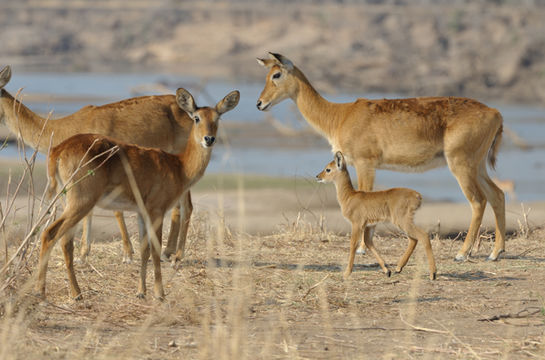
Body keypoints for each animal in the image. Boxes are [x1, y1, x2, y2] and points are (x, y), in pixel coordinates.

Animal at [0, 64, 193, 262]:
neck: (63, 128)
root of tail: (189, 112)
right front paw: (85, 253)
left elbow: (113, 211)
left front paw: (125, 254)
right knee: (178, 206)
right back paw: (167, 252)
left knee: (187, 206)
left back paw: (176, 255)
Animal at [34, 88, 238, 300]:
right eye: (197, 118)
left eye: (217, 118)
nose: (209, 139)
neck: (179, 166)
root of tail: (57, 150)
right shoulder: (156, 211)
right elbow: (155, 250)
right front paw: (159, 293)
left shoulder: (142, 212)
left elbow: (144, 250)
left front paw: (141, 291)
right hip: (81, 203)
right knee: (50, 234)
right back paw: (51, 292)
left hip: (69, 202)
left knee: (65, 241)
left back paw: (70, 292)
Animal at [258, 52, 504, 262]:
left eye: (276, 74)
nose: (260, 103)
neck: (340, 115)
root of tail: (495, 112)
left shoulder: (365, 164)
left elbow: (365, 196)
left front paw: (361, 248)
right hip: (478, 166)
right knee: (497, 195)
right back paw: (495, 253)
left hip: (461, 164)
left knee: (478, 201)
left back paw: (462, 253)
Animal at [316, 150, 436, 280]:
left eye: (328, 169)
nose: (318, 176)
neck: (349, 197)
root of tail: (417, 195)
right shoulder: (370, 226)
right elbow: (369, 243)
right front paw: (387, 271)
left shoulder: (357, 224)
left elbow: (353, 244)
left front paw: (346, 273)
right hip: (404, 222)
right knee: (414, 239)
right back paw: (398, 268)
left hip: (402, 221)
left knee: (423, 236)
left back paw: (433, 274)